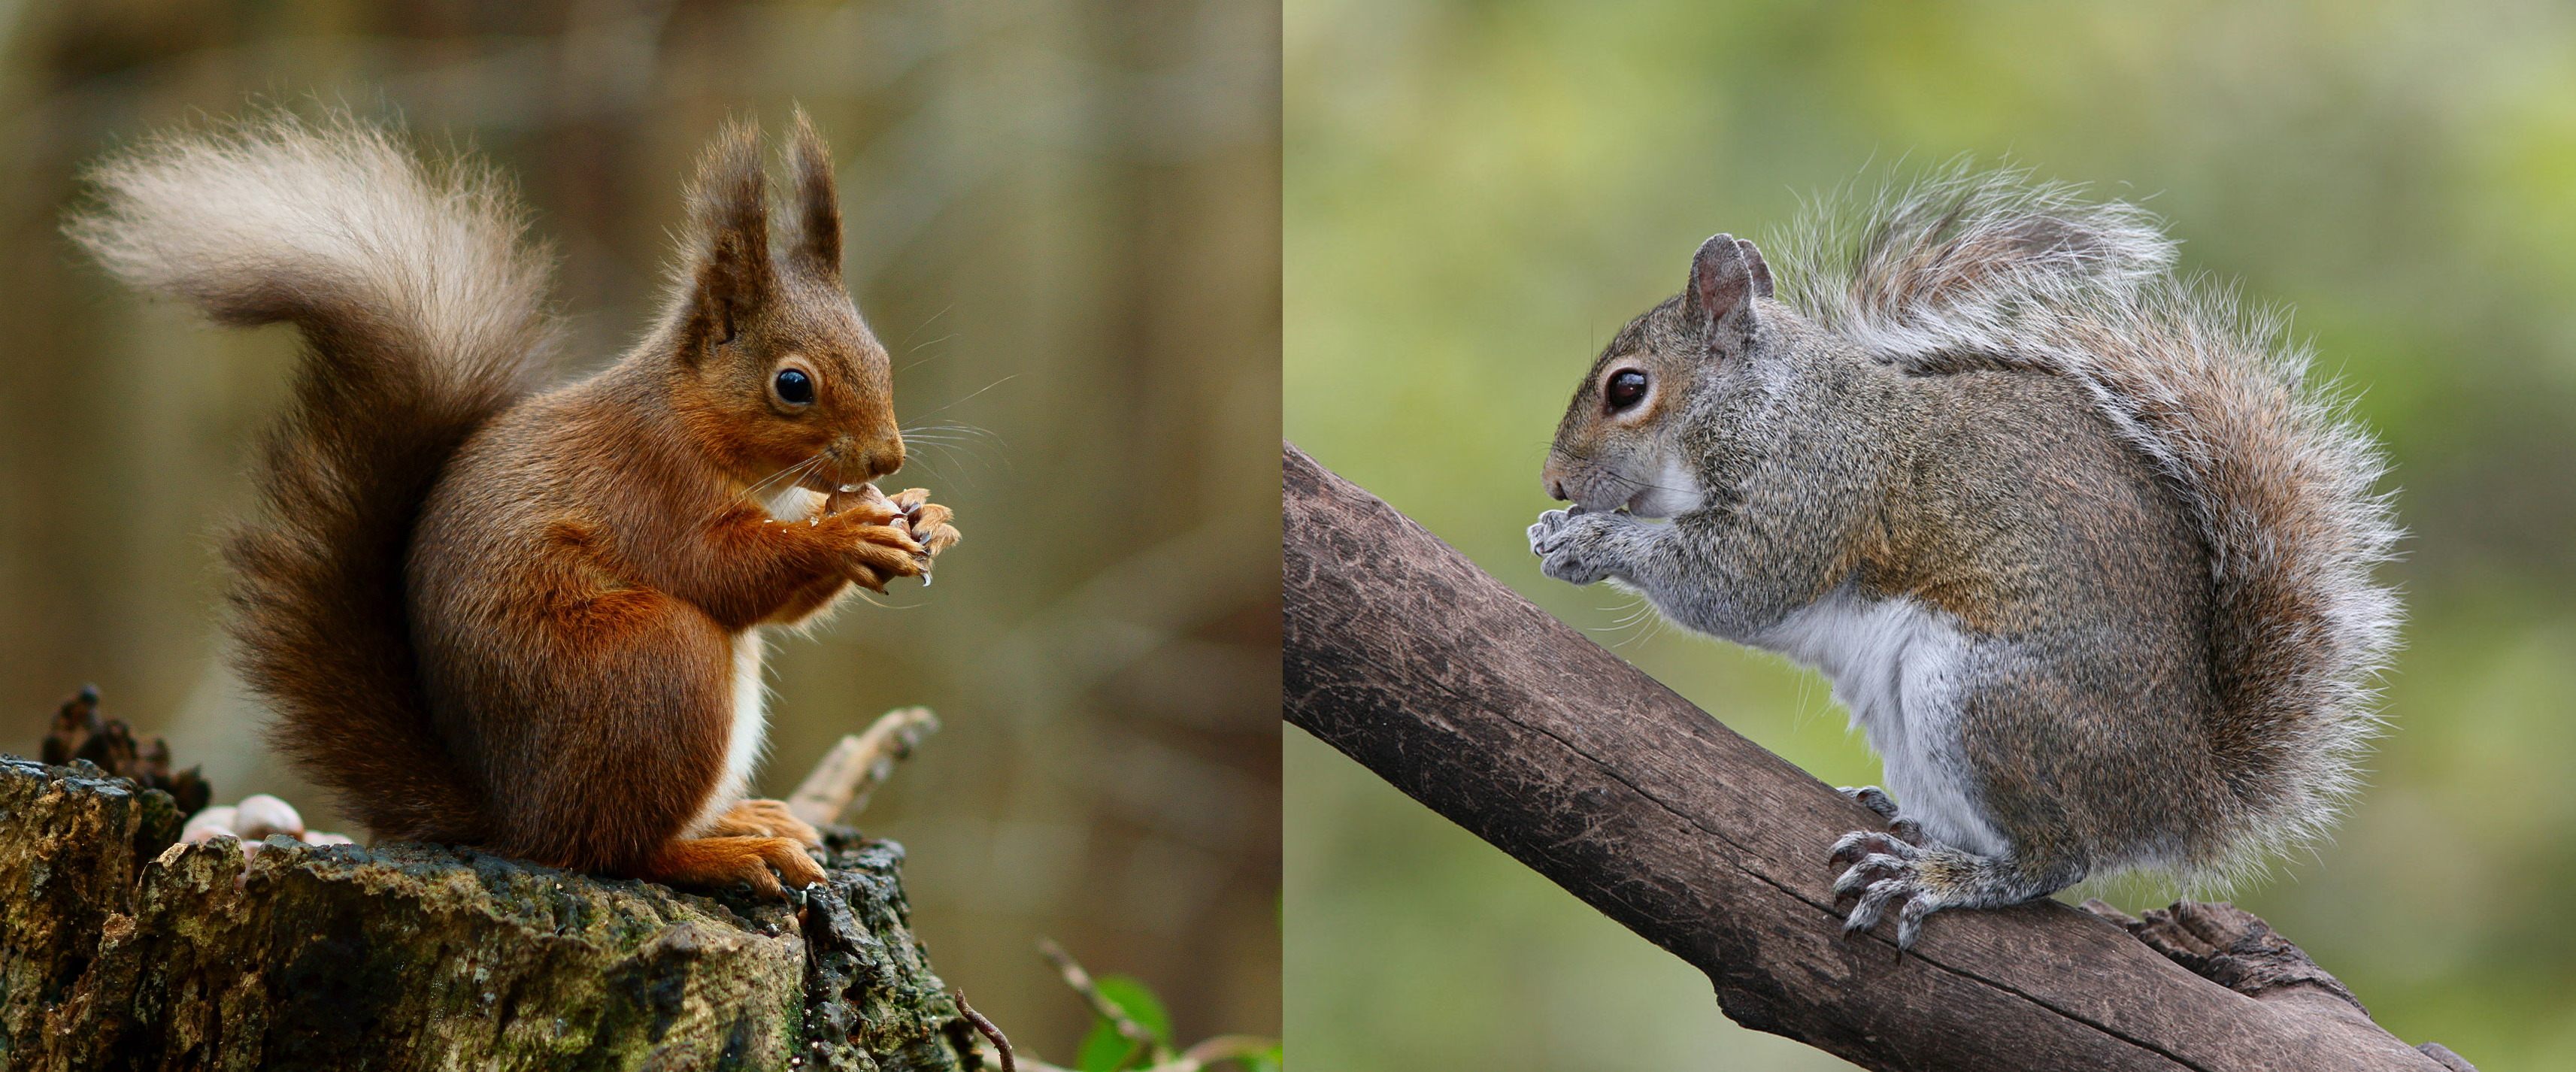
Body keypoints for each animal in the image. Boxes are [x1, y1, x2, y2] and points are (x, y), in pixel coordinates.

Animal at [70, 111, 963, 896]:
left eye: (880, 354)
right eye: (793, 385)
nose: (887, 457)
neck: (698, 428)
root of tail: (511, 817)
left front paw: (926, 517)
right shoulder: (649, 487)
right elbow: (722, 572)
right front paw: (848, 535)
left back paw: (746, 819)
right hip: (651, 665)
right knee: (611, 850)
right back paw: (722, 853)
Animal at [1525, 167, 2390, 948]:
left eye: (1627, 388)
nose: (1555, 480)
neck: (1762, 402)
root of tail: (2185, 795)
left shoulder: (1810, 489)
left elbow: (1733, 582)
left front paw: (1588, 539)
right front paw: (1554, 528)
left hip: (1982, 699)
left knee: (2057, 857)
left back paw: (1939, 876)